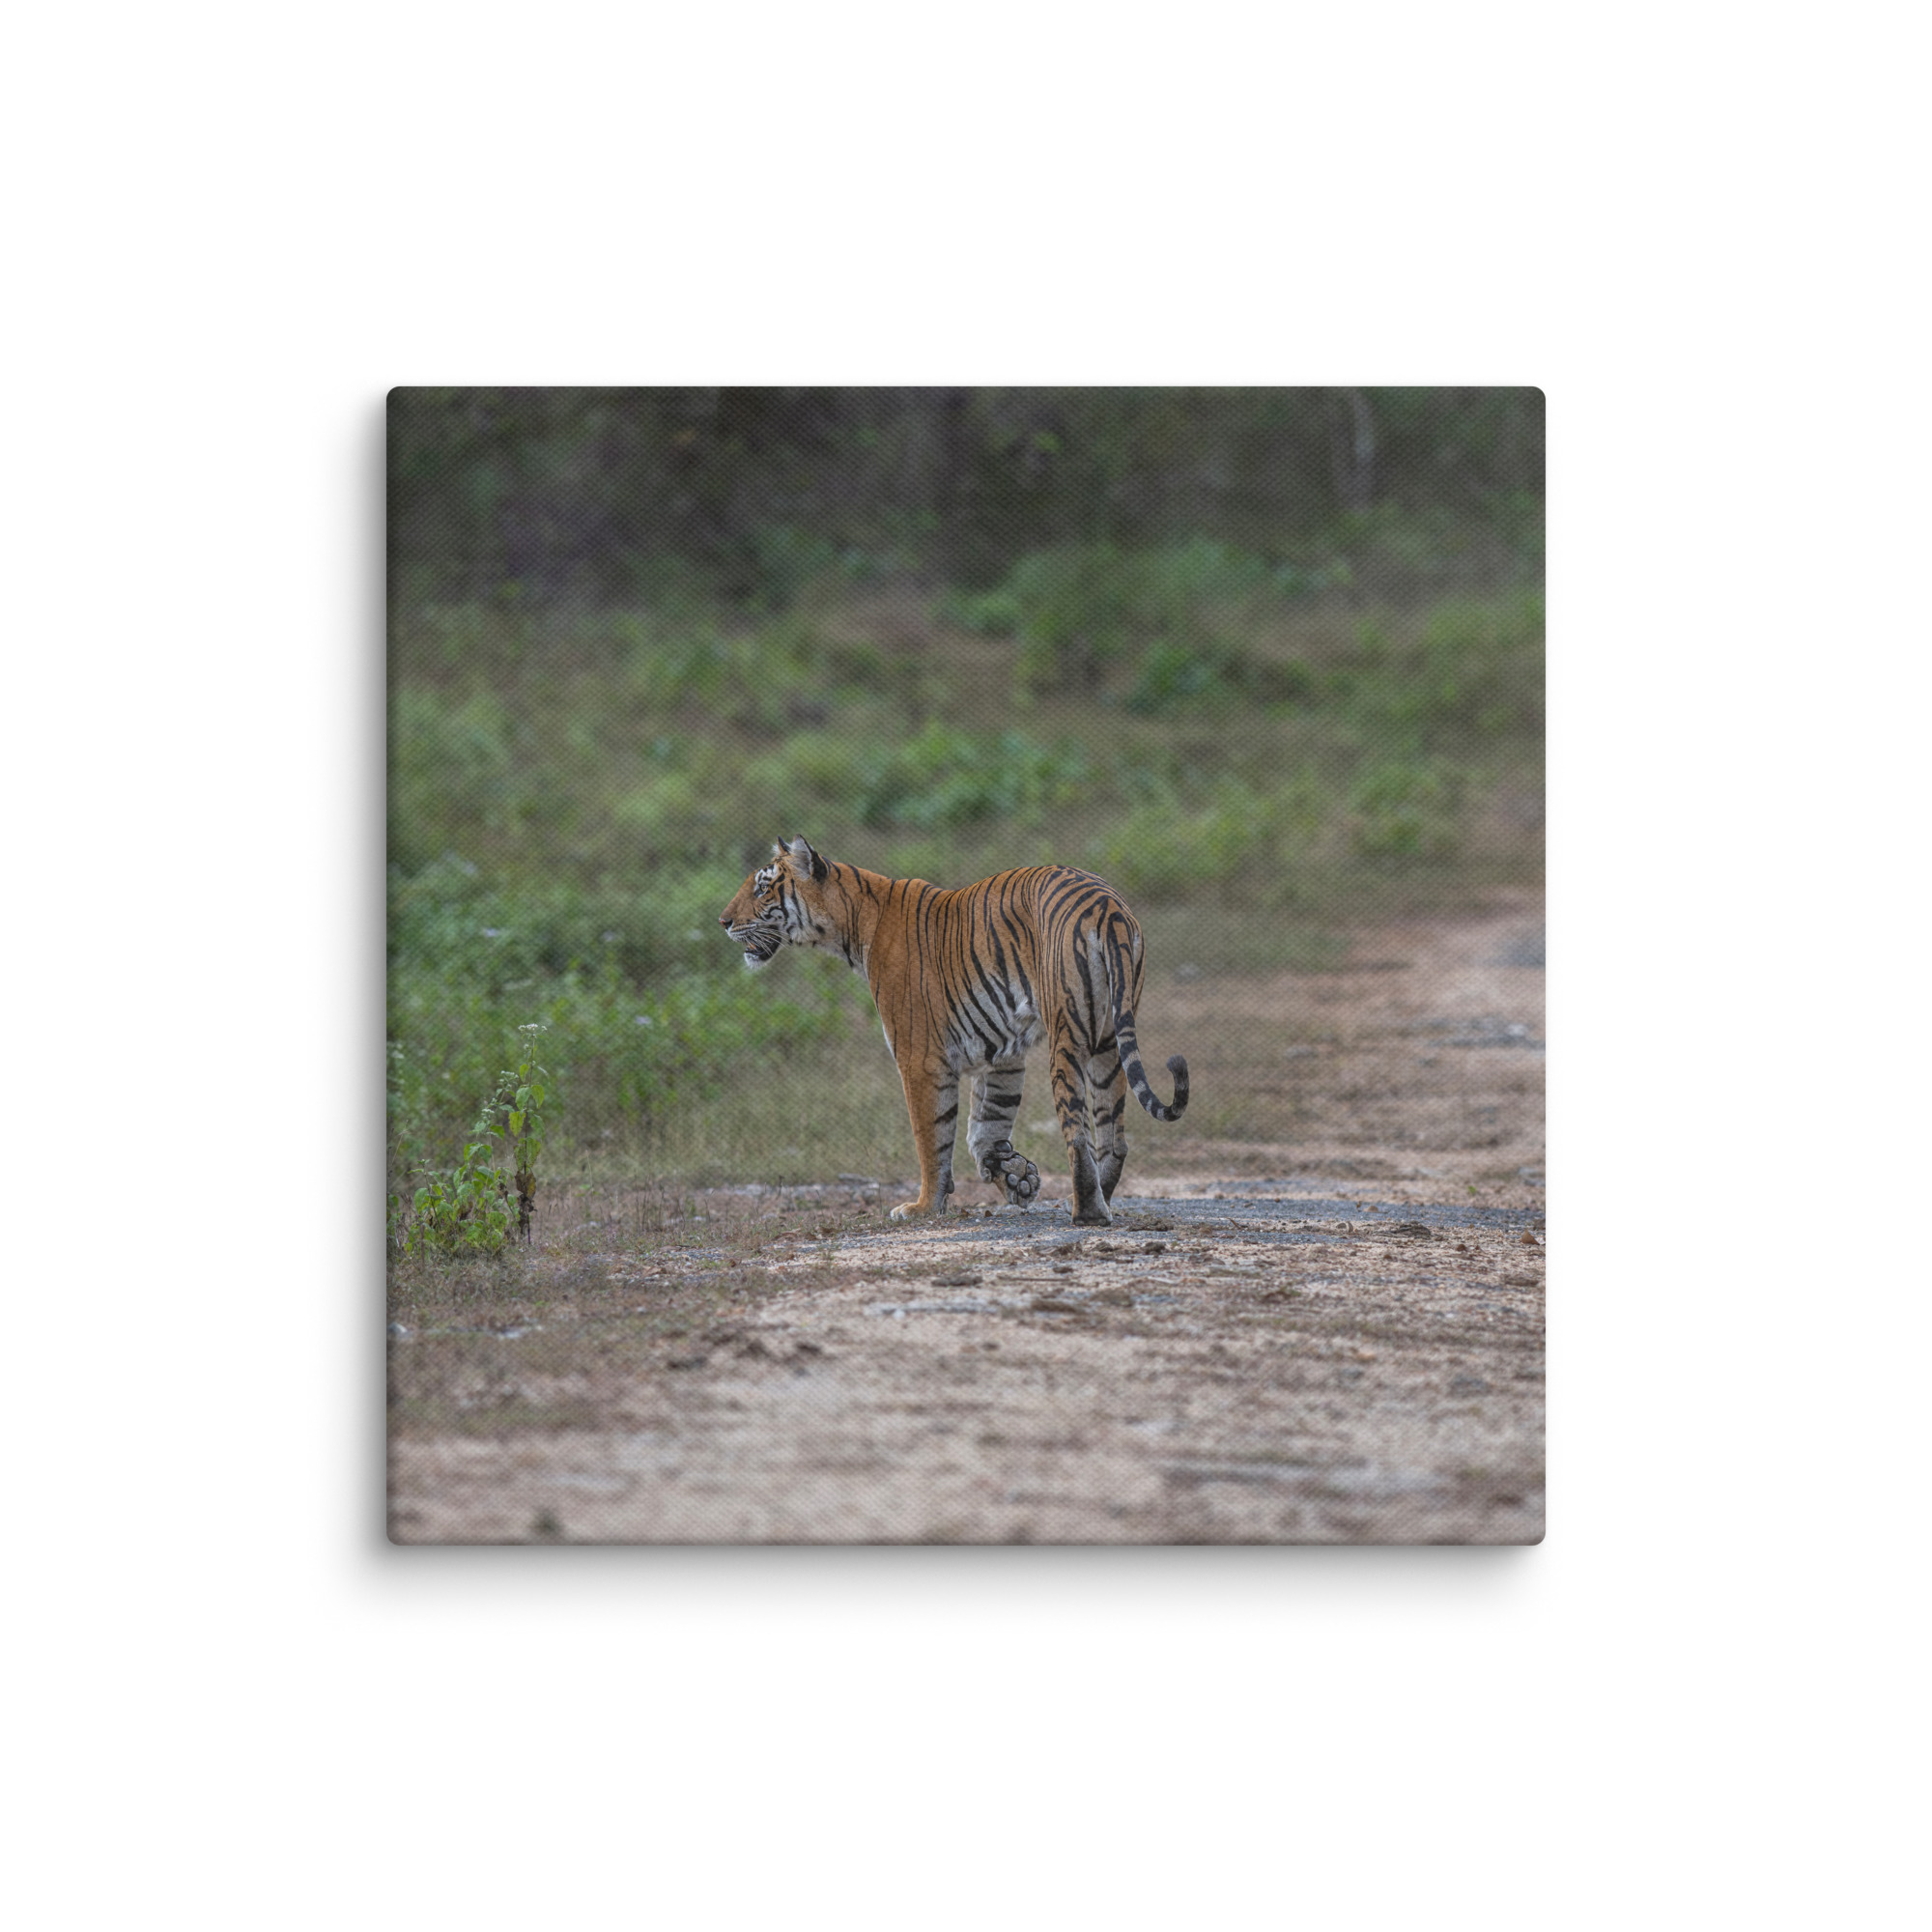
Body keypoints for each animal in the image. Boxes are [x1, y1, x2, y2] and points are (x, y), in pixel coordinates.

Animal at [719, 837, 1188, 1226]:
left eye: (762, 889)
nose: (723, 921)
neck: (852, 923)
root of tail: (1106, 906)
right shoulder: (1002, 1054)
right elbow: (986, 1124)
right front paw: (1015, 1176)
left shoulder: (919, 1058)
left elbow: (932, 1136)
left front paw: (924, 1206)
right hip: (1108, 1041)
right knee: (1114, 1137)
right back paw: (1099, 1198)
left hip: (1067, 1035)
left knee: (1077, 1133)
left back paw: (1087, 1212)